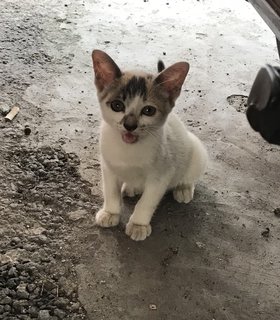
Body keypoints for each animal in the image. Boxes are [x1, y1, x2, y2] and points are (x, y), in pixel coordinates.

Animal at [91, 49, 207, 240]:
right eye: (117, 105)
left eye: (148, 110)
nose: (130, 125)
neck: (129, 150)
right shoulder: (107, 166)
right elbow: (111, 192)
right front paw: (110, 213)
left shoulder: (162, 175)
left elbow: (147, 202)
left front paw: (138, 225)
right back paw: (131, 187)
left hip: (197, 151)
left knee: (189, 175)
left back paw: (183, 188)